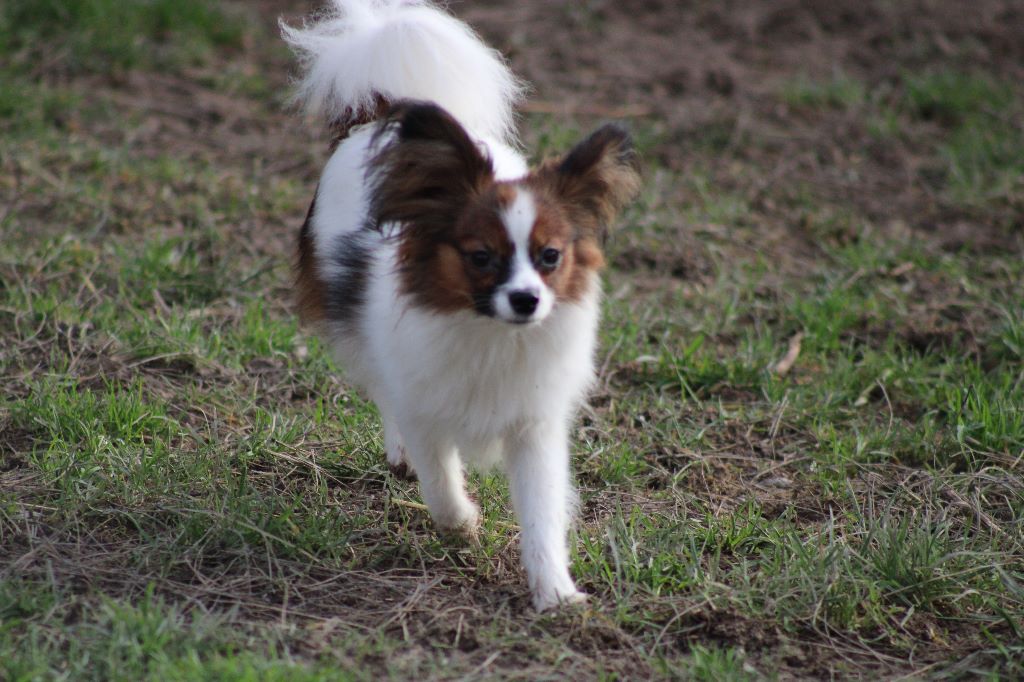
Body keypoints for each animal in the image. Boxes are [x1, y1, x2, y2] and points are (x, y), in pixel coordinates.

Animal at [280, 0, 638, 606]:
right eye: (481, 257)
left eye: (550, 256)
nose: (526, 300)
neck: (489, 332)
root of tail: (385, 111)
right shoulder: (423, 401)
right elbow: (440, 480)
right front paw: (464, 523)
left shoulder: (534, 425)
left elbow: (542, 512)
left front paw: (555, 592)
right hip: (362, 334)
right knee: (383, 393)